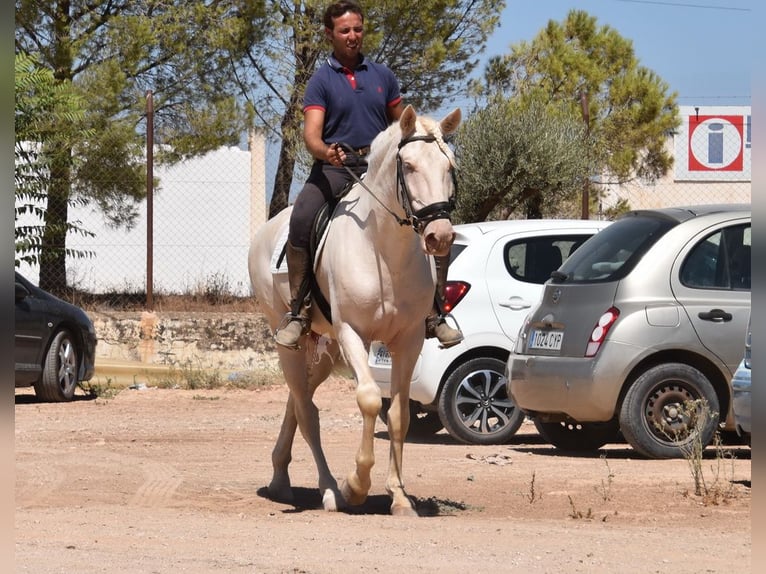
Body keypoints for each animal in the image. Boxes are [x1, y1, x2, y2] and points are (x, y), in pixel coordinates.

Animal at [249, 104, 460, 516]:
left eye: (449, 166)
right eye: (409, 166)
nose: (439, 236)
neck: (384, 251)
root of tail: (267, 230)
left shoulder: (409, 339)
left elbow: (398, 415)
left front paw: (399, 497)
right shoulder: (353, 333)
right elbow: (368, 399)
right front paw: (356, 485)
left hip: (325, 348)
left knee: (299, 400)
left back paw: (281, 478)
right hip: (289, 340)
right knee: (308, 412)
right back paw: (329, 489)